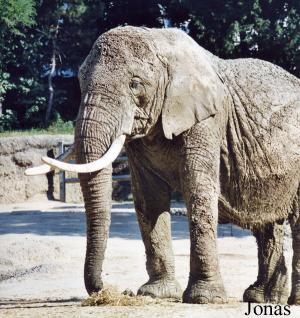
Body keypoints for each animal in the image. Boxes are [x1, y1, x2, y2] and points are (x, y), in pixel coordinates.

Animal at [25, 26, 300, 304]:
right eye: (80, 81)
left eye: (135, 84)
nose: (108, 288)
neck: (160, 42)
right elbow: (149, 198)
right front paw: (155, 293)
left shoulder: (208, 119)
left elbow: (198, 190)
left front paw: (203, 299)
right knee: (267, 223)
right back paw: (261, 298)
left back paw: (289, 299)